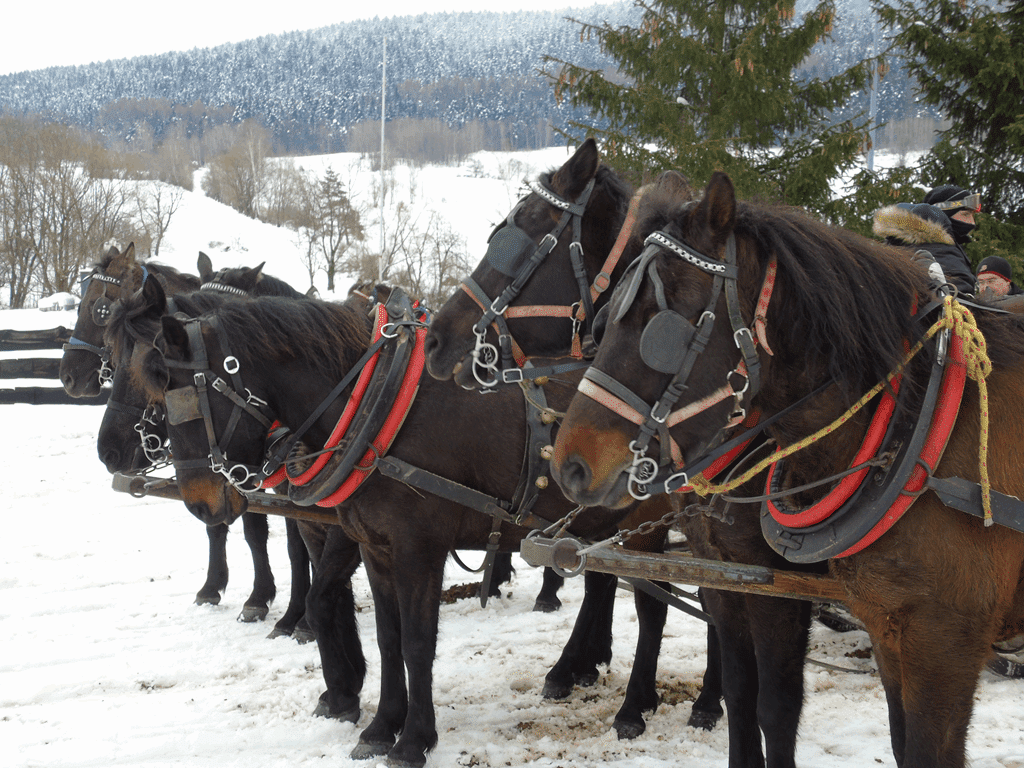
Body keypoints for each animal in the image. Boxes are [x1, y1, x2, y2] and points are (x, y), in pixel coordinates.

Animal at [421, 140, 815, 768]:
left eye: (523, 236)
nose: (436, 340)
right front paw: (589, 668)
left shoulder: (724, 549)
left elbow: (656, 602)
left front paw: (635, 702)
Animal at [552, 169, 1024, 768]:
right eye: (608, 310)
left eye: (660, 322)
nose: (569, 465)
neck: (915, 423)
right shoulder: (742, 579)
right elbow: (741, 691)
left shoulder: (931, 638)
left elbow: (777, 705)